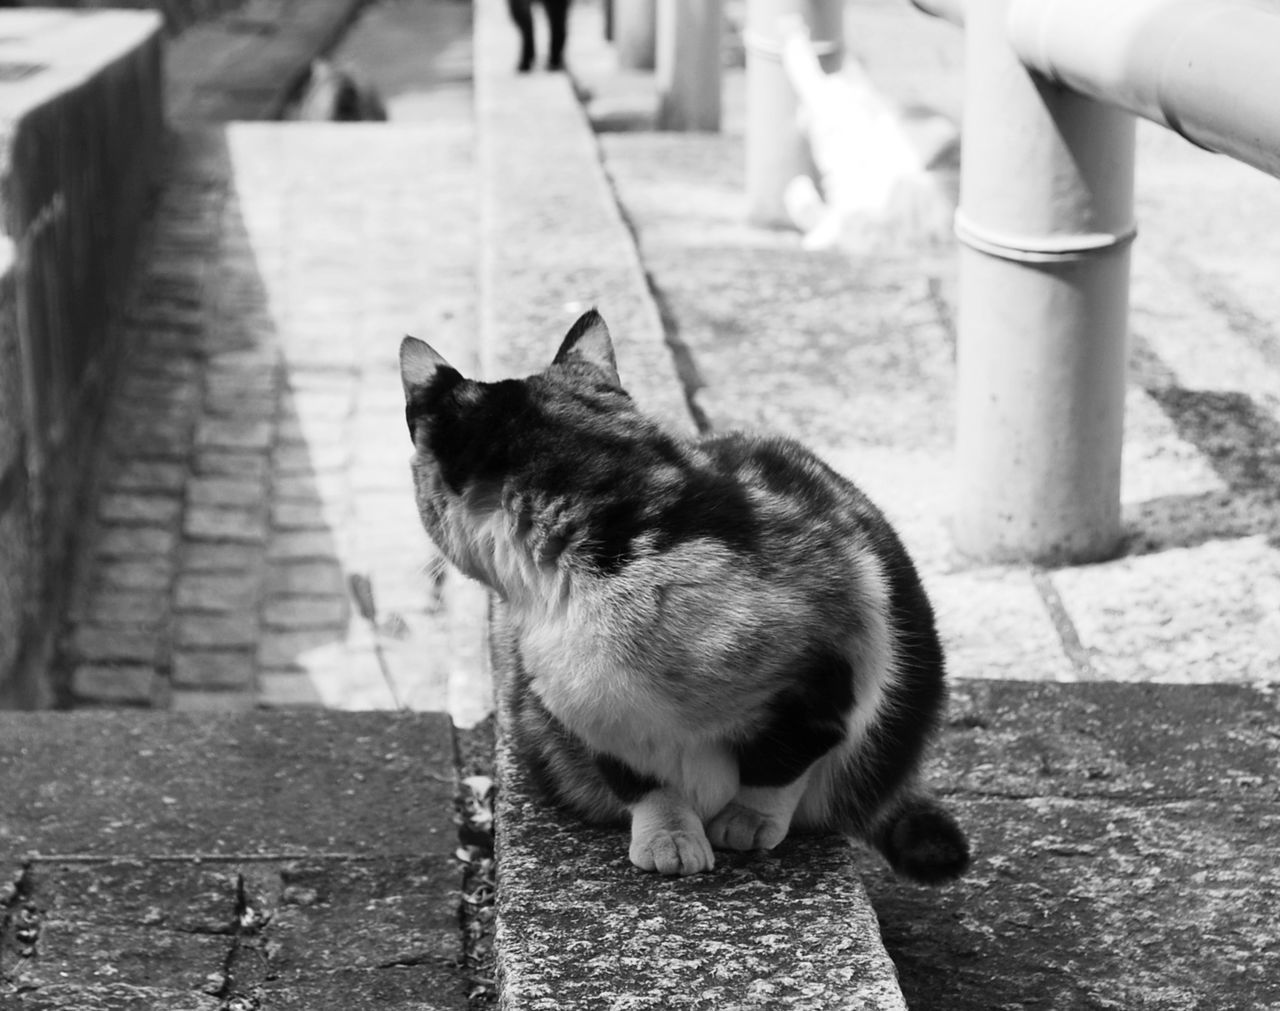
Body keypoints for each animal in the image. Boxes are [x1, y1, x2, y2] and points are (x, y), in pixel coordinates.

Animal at [399, 310, 967, 885]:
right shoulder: (593, 718)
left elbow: (780, 763)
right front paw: (669, 837)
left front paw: (746, 821)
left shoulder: (832, 667)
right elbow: (643, 782)